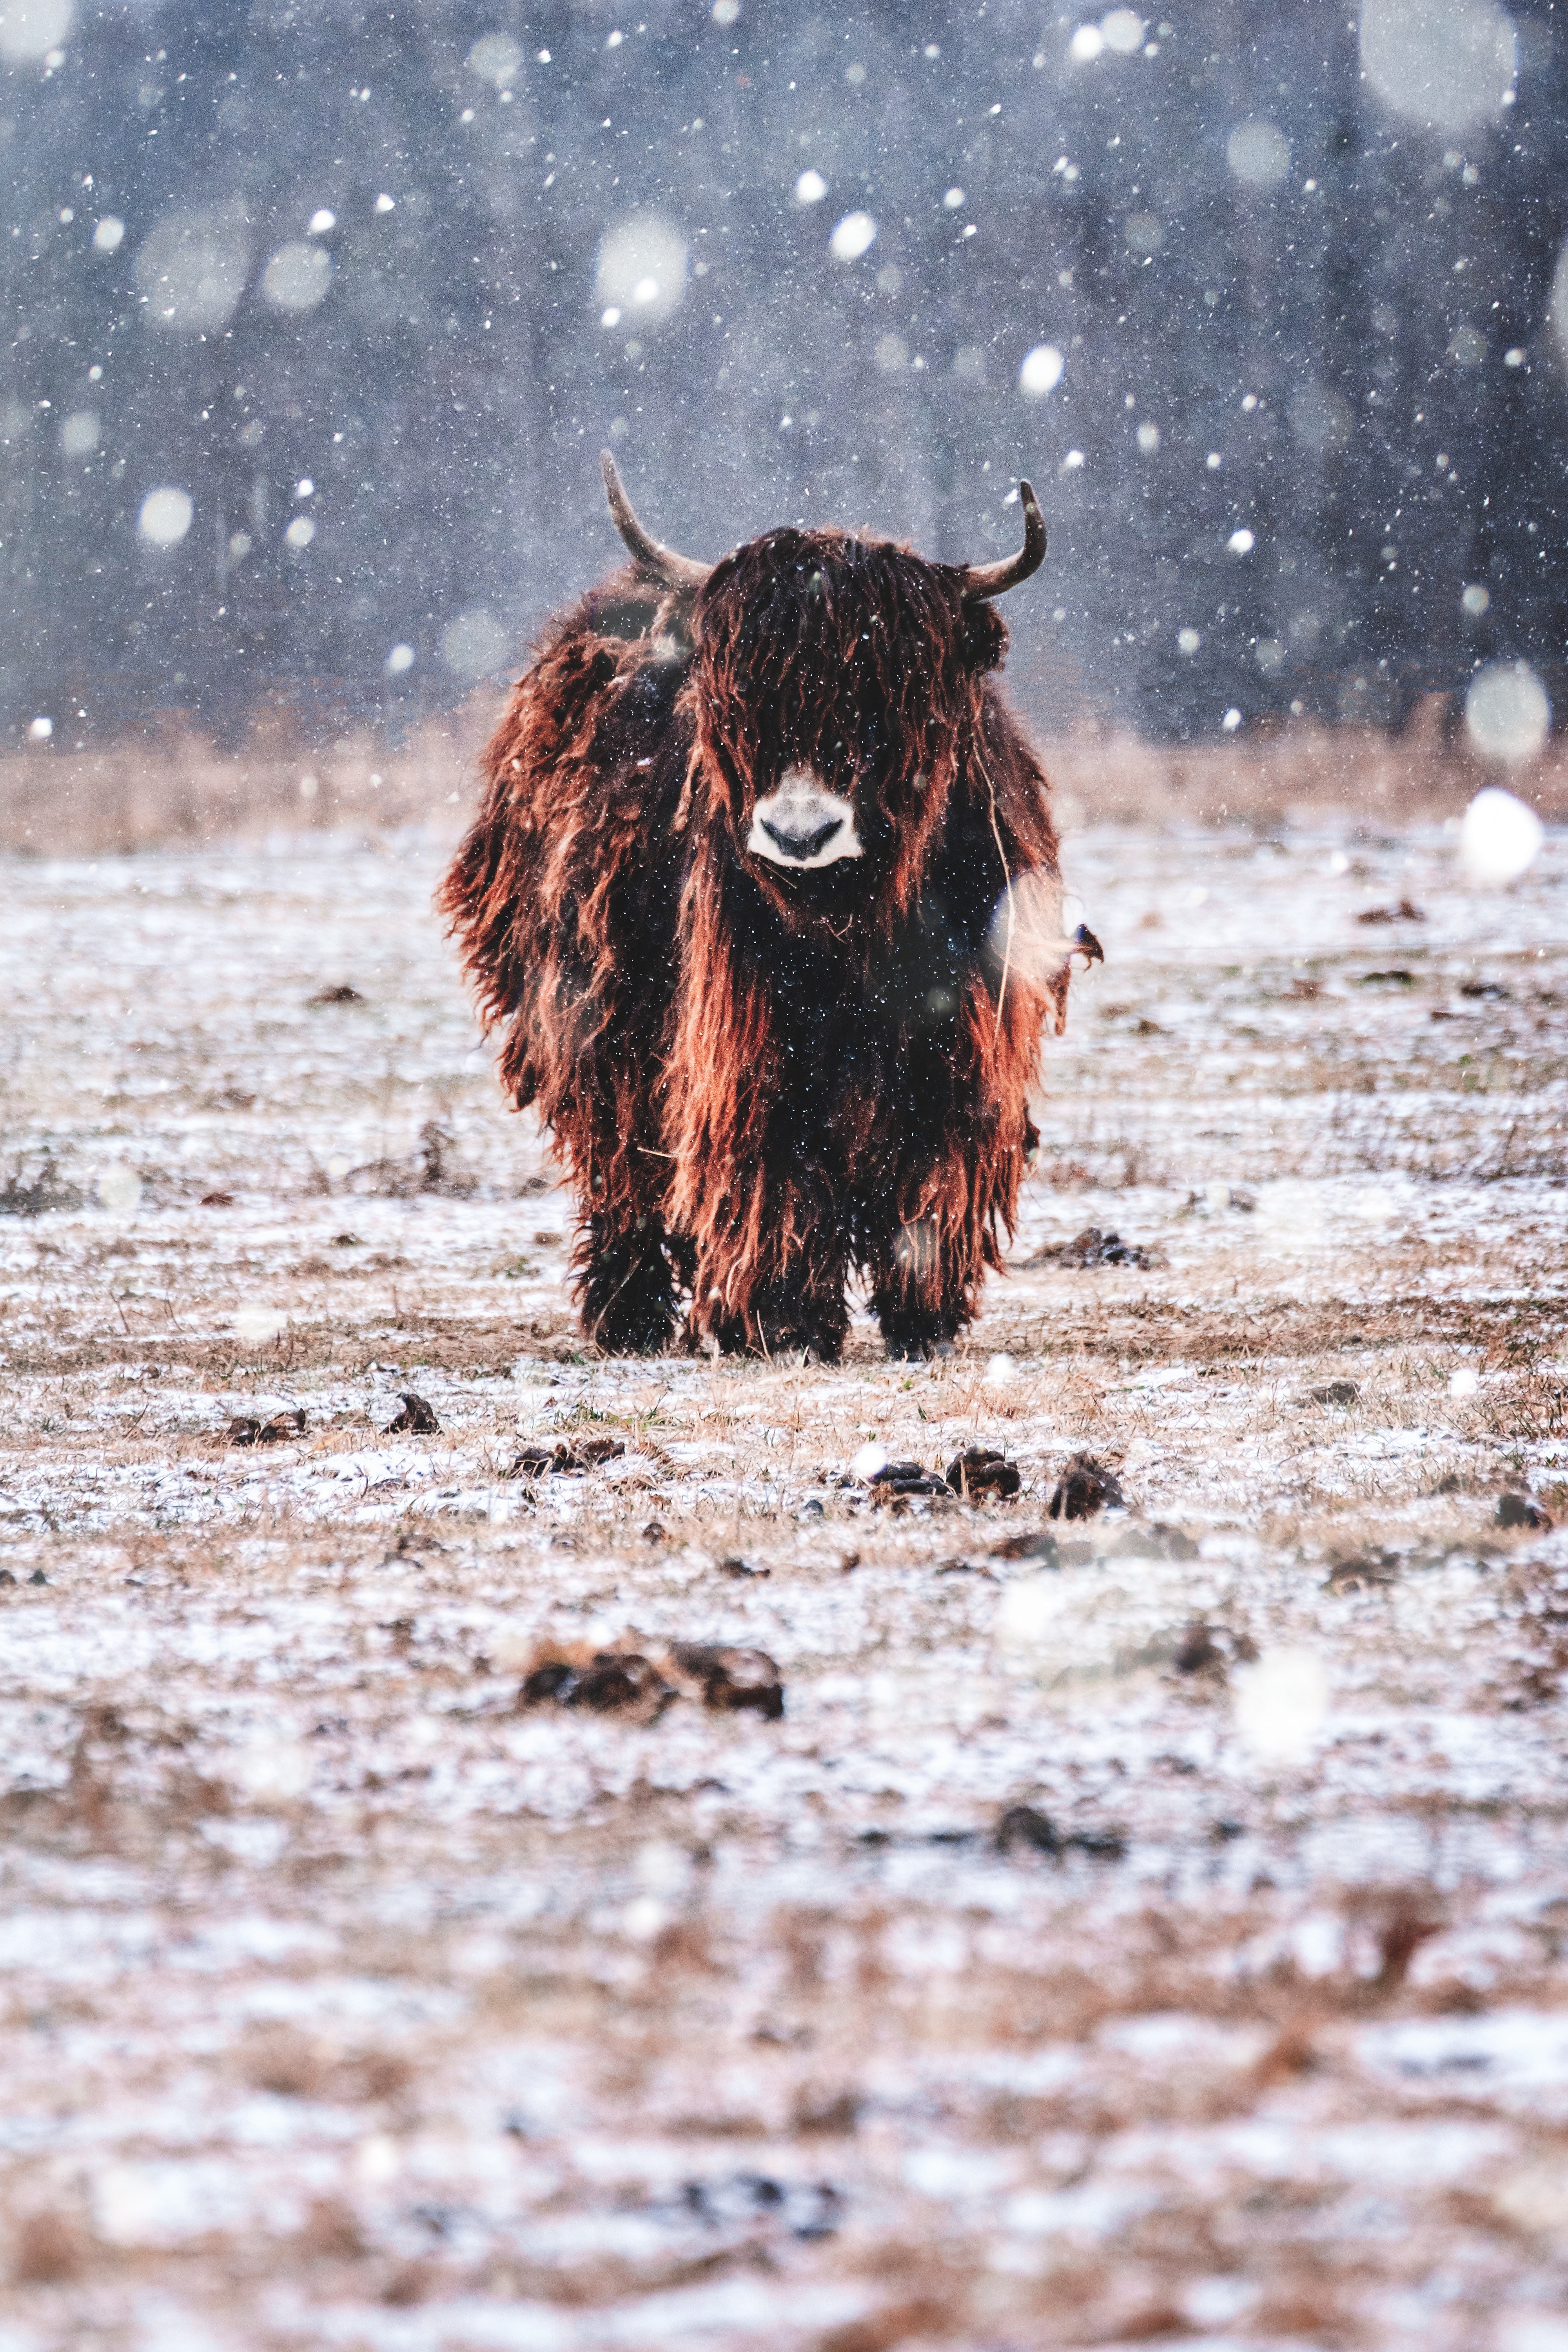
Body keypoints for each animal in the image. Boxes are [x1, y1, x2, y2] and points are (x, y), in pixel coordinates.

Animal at [439, 455, 1099, 1360]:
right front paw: (783, 1321)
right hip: (587, 1019)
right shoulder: (747, 1033)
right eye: (744, 704)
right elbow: (773, 1163)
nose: (799, 834)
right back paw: (631, 1316)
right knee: (622, 1165)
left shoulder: (964, 1030)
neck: (856, 926)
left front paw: (922, 1317)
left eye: (886, 699)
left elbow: (934, 1161)